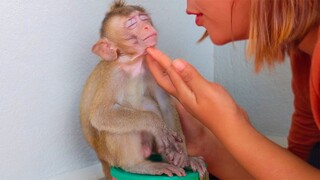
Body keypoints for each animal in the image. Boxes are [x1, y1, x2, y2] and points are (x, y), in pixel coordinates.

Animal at [80, 0, 208, 179]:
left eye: (144, 19)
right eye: (132, 24)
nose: (147, 26)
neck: (133, 62)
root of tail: (101, 158)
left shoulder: (150, 66)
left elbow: (165, 104)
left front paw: (181, 154)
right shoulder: (113, 75)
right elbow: (100, 114)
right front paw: (154, 124)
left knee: (149, 104)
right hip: (110, 154)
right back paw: (138, 165)